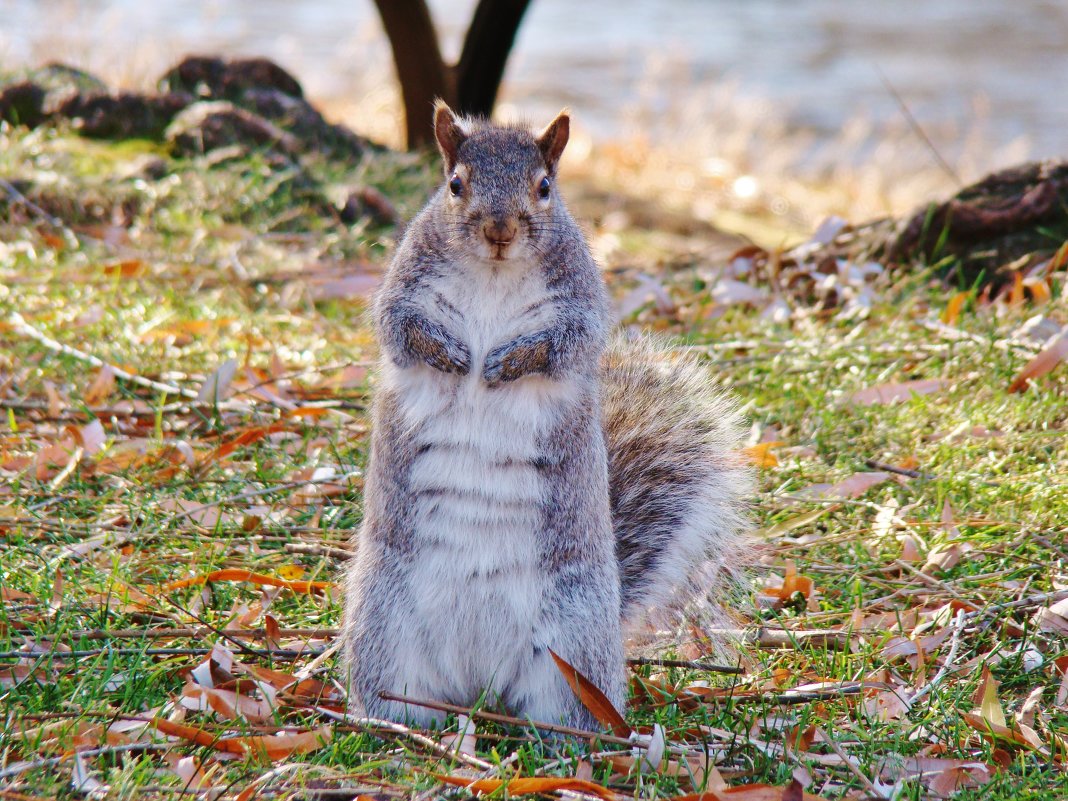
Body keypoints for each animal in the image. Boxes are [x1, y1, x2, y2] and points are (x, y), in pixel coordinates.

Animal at [341, 101, 751, 734]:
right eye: (454, 184)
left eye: (544, 188)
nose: (500, 231)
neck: (493, 274)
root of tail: (478, 682)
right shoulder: (402, 289)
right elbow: (399, 327)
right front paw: (451, 354)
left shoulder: (581, 303)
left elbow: (566, 342)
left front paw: (507, 362)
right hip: (385, 623)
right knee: (399, 693)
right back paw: (388, 724)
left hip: (571, 643)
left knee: (566, 711)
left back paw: (562, 742)